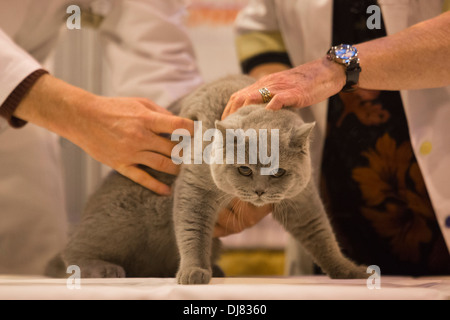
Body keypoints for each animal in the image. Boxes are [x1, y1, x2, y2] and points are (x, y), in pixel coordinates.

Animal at [48, 75, 366, 284]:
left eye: (278, 173)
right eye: (244, 170)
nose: (260, 192)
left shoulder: (301, 199)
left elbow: (321, 234)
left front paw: (349, 271)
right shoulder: (195, 188)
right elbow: (193, 230)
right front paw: (193, 272)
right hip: (125, 213)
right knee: (70, 253)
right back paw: (104, 269)